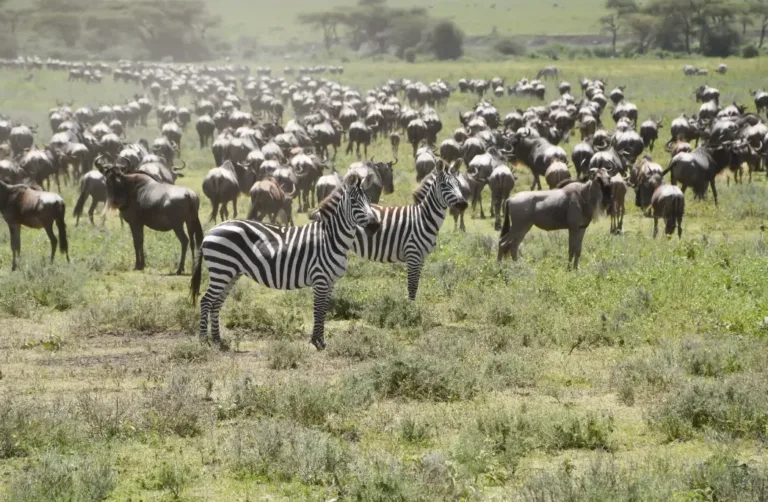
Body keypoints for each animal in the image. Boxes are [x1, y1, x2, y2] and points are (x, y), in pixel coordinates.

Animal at [191, 175, 380, 350]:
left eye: (369, 200)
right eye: (354, 201)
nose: (375, 226)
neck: (330, 238)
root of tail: (211, 231)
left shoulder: (330, 281)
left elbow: (325, 309)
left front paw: (320, 340)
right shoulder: (319, 278)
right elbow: (318, 309)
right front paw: (317, 341)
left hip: (230, 273)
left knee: (216, 303)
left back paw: (218, 340)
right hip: (221, 269)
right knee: (206, 301)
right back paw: (203, 340)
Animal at [352, 163, 468, 301]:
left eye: (458, 184)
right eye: (444, 185)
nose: (463, 204)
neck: (423, 218)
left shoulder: (421, 257)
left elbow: (416, 285)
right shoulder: (413, 254)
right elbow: (412, 286)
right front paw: (410, 307)